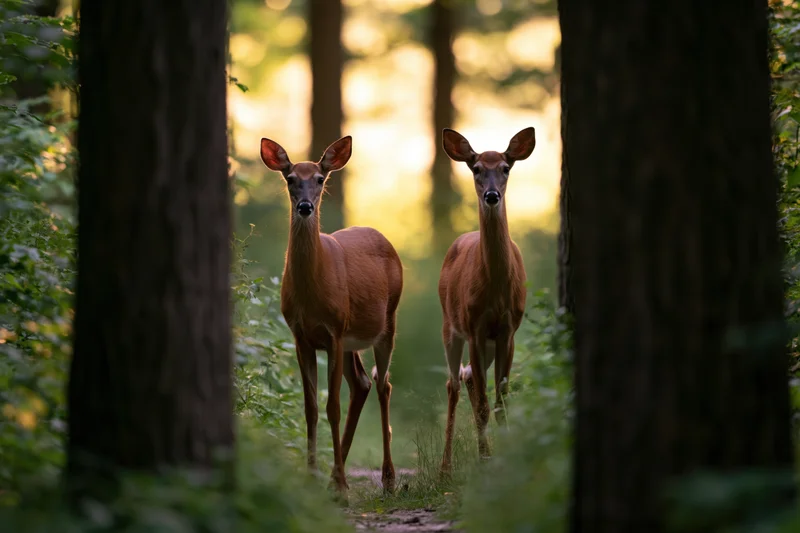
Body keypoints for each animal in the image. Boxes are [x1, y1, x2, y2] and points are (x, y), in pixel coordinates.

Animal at [259, 135, 403, 498]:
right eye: (290, 179)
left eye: (320, 179)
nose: (305, 207)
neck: (312, 292)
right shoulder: (302, 335)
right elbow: (311, 408)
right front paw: (314, 477)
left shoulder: (334, 331)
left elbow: (332, 408)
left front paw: (340, 485)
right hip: (352, 339)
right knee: (363, 384)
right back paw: (336, 474)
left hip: (387, 321)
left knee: (383, 385)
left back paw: (387, 478)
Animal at [437, 127, 535, 475]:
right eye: (476, 168)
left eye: (505, 168)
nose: (492, 195)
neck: (495, 288)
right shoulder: (475, 328)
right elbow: (481, 405)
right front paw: (486, 461)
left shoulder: (508, 330)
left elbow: (500, 401)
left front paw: (503, 460)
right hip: (450, 325)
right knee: (453, 383)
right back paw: (445, 468)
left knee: (466, 377)